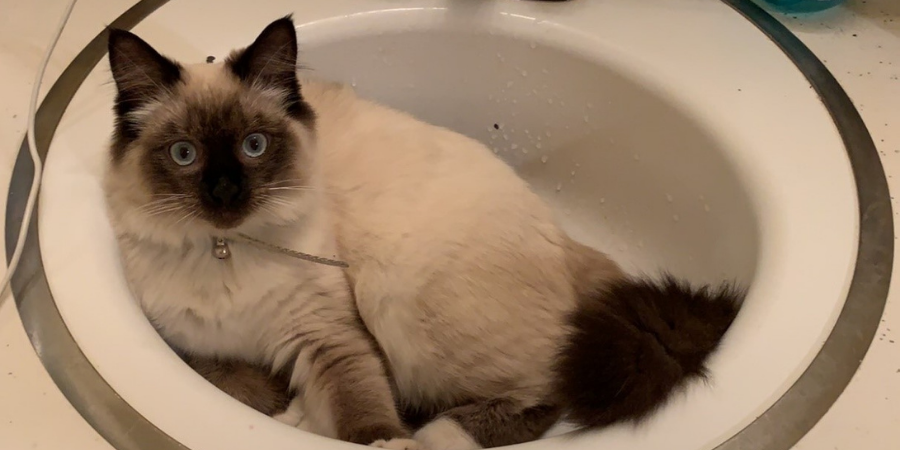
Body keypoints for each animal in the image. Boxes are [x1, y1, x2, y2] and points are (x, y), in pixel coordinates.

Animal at [103, 15, 740, 448]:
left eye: (253, 146)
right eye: (184, 155)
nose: (225, 193)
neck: (225, 249)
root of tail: (566, 244)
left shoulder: (329, 336)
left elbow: (364, 412)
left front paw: (377, 437)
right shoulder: (184, 344)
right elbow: (236, 381)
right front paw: (281, 403)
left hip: (396, 301)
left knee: (549, 396)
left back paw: (436, 433)